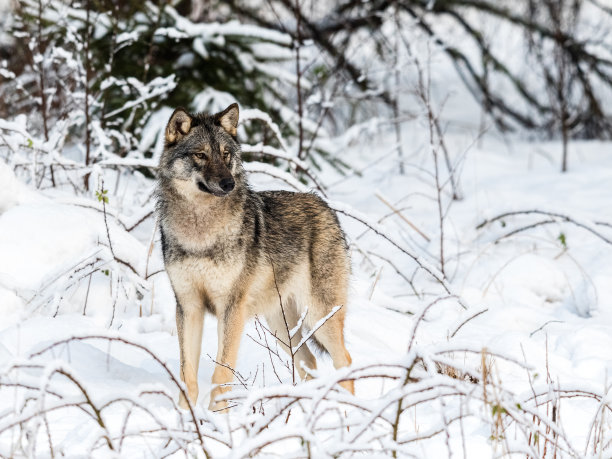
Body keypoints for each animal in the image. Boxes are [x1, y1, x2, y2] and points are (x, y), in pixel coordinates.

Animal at [157, 103, 354, 410]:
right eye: (201, 155)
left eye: (226, 154)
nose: (228, 183)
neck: (200, 232)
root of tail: (324, 205)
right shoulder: (188, 307)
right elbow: (187, 375)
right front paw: (186, 418)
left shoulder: (231, 310)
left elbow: (221, 374)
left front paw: (216, 419)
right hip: (281, 326)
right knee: (308, 361)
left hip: (320, 318)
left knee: (344, 361)